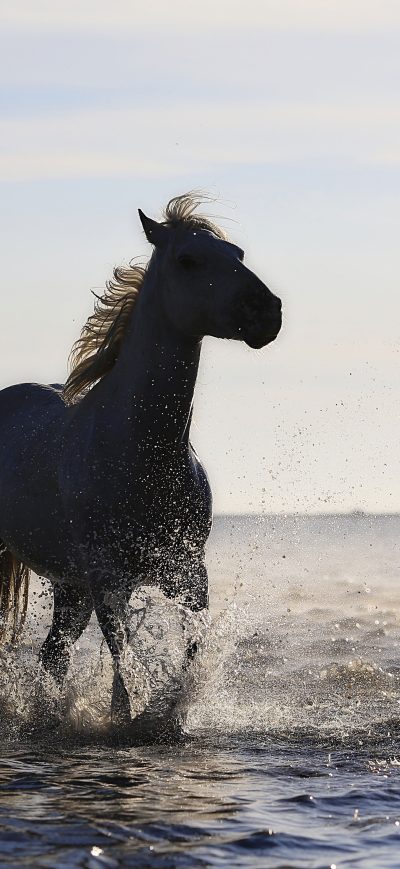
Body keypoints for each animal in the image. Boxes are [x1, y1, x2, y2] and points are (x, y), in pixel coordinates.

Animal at [0, 193, 282, 725]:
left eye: (237, 253)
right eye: (188, 260)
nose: (267, 312)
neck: (139, 453)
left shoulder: (187, 574)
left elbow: (184, 650)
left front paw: (166, 714)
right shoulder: (108, 578)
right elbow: (124, 659)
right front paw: (132, 718)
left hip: (71, 588)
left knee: (54, 656)